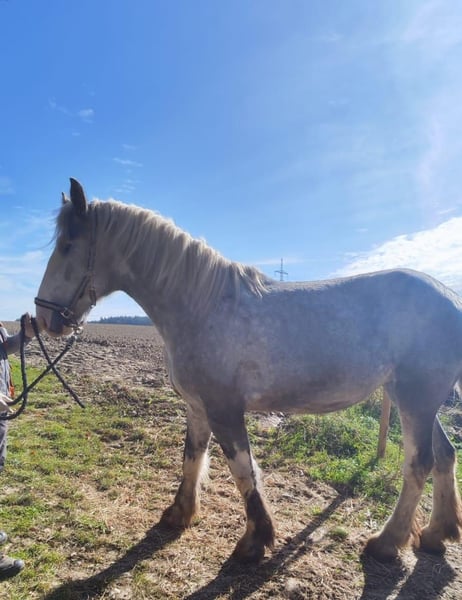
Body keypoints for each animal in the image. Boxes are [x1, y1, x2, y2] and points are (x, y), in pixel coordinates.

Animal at [35, 178, 462, 563]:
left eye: (67, 245)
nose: (44, 318)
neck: (202, 305)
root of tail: (451, 297)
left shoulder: (225, 408)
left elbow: (242, 470)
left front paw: (255, 541)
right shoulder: (197, 406)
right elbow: (192, 458)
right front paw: (179, 514)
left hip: (415, 398)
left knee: (419, 464)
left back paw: (386, 544)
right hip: (421, 402)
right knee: (444, 454)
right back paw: (436, 534)